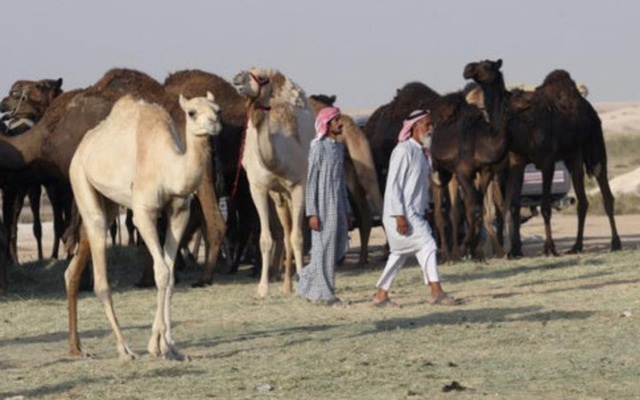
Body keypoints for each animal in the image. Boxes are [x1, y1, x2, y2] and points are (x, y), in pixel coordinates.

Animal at [64, 91, 221, 360]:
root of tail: (83, 145)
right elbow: (161, 271)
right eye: (191, 112)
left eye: (217, 109)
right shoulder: (144, 213)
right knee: (100, 272)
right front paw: (156, 345)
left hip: (106, 201)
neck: (167, 166)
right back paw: (124, 349)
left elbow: (170, 274)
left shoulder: (180, 212)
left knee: (75, 263)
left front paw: (170, 346)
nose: (214, 124)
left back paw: (76, 348)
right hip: (79, 177)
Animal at [234, 67, 316, 296]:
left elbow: (298, 237)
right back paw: (287, 285)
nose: (237, 79)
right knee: (284, 233)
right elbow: (265, 239)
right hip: (278, 196)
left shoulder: (299, 186)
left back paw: (293, 282)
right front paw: (262, 288)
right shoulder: (258, 188)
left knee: (292, 234)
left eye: (261, 78)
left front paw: (302, 283)